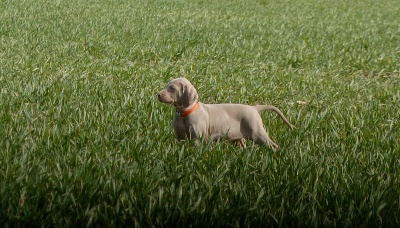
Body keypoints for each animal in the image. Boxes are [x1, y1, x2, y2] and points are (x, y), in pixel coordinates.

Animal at [157, 77, 294, 151]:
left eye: (172, 88)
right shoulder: (179, 137)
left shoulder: (198, 138)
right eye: (166, 86)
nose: (158, 94)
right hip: (238, 137)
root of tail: (254, 108)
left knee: (273, 145)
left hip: (257, 132)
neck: (183, 114)